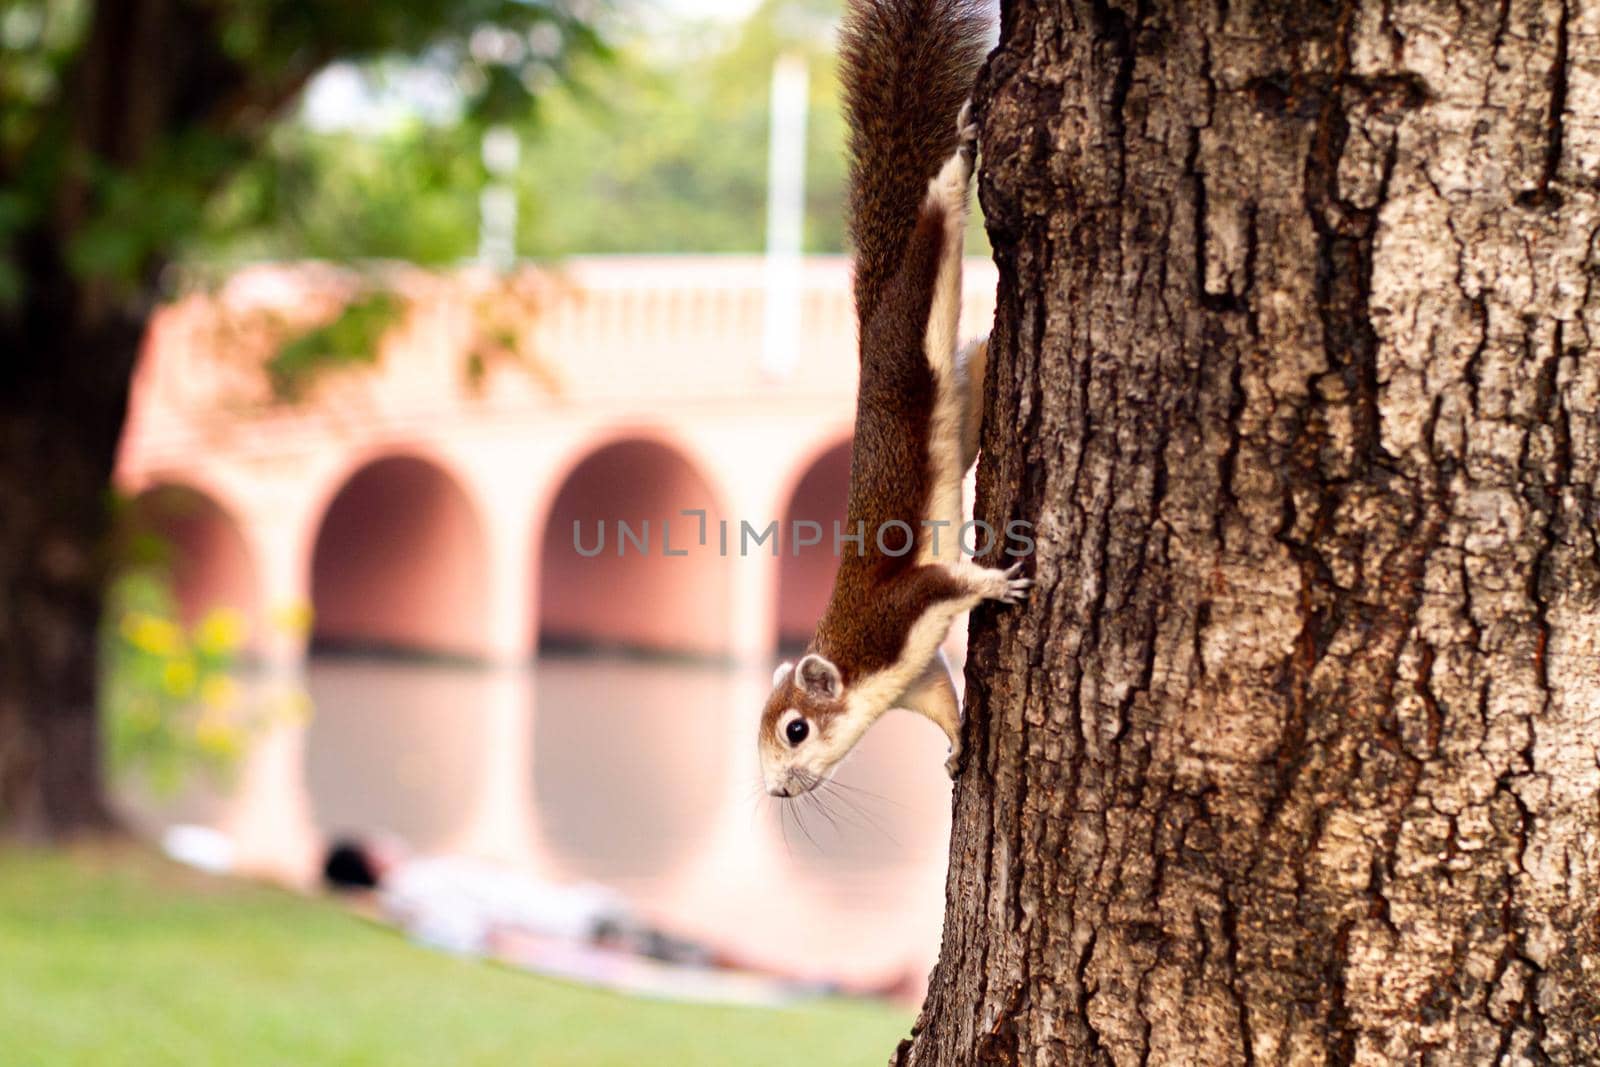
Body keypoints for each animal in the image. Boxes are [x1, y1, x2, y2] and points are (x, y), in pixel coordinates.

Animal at [758, 0, 1030, 799]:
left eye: (796, 729)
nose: (777, 790)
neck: (862, 673)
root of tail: (870, 330)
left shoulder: (896, 612)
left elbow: (947, 578)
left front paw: (1000, 579)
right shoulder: (917, 675)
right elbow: (942, 700)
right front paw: (957, 747)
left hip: (909, 330)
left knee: (935, 225)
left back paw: (960, 157)